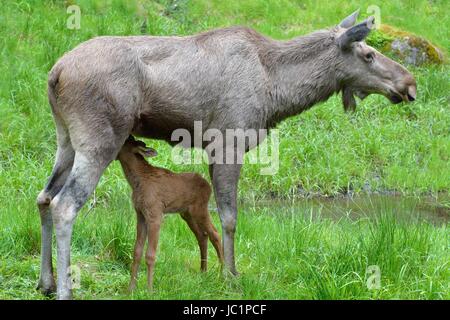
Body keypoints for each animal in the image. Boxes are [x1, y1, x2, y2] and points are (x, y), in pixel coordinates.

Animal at [117, 135, 224, 290]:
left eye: (125, 141)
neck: (136, 181)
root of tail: (208, 186)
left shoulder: (155, 214)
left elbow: (150, 255)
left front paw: (149, 290)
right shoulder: (140, 215)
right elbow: (137, 252)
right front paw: (131, 289)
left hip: (200, 210)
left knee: (215, 234)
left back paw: (223, 274)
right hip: (187, 214)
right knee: (202, 235)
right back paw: (203, 271)